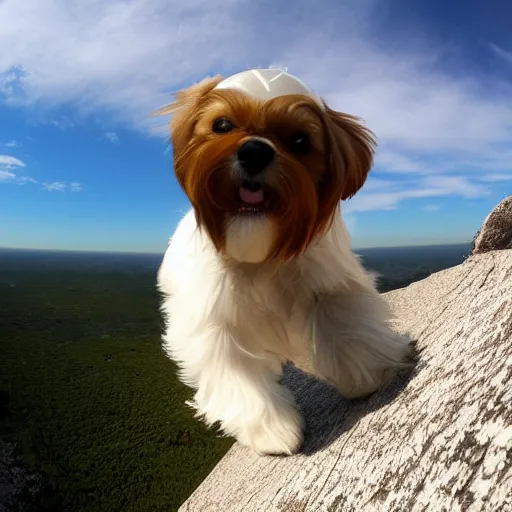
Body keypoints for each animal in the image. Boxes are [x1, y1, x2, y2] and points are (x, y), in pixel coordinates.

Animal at [154, 69, 410, 456]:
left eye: (300, 141)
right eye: (222, 125)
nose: (255, 151)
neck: (259, 250)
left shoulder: (328, 281)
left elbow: (343, 325)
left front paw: (366, 373)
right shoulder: (213, 321)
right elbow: (235, 374)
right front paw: (271, 429)